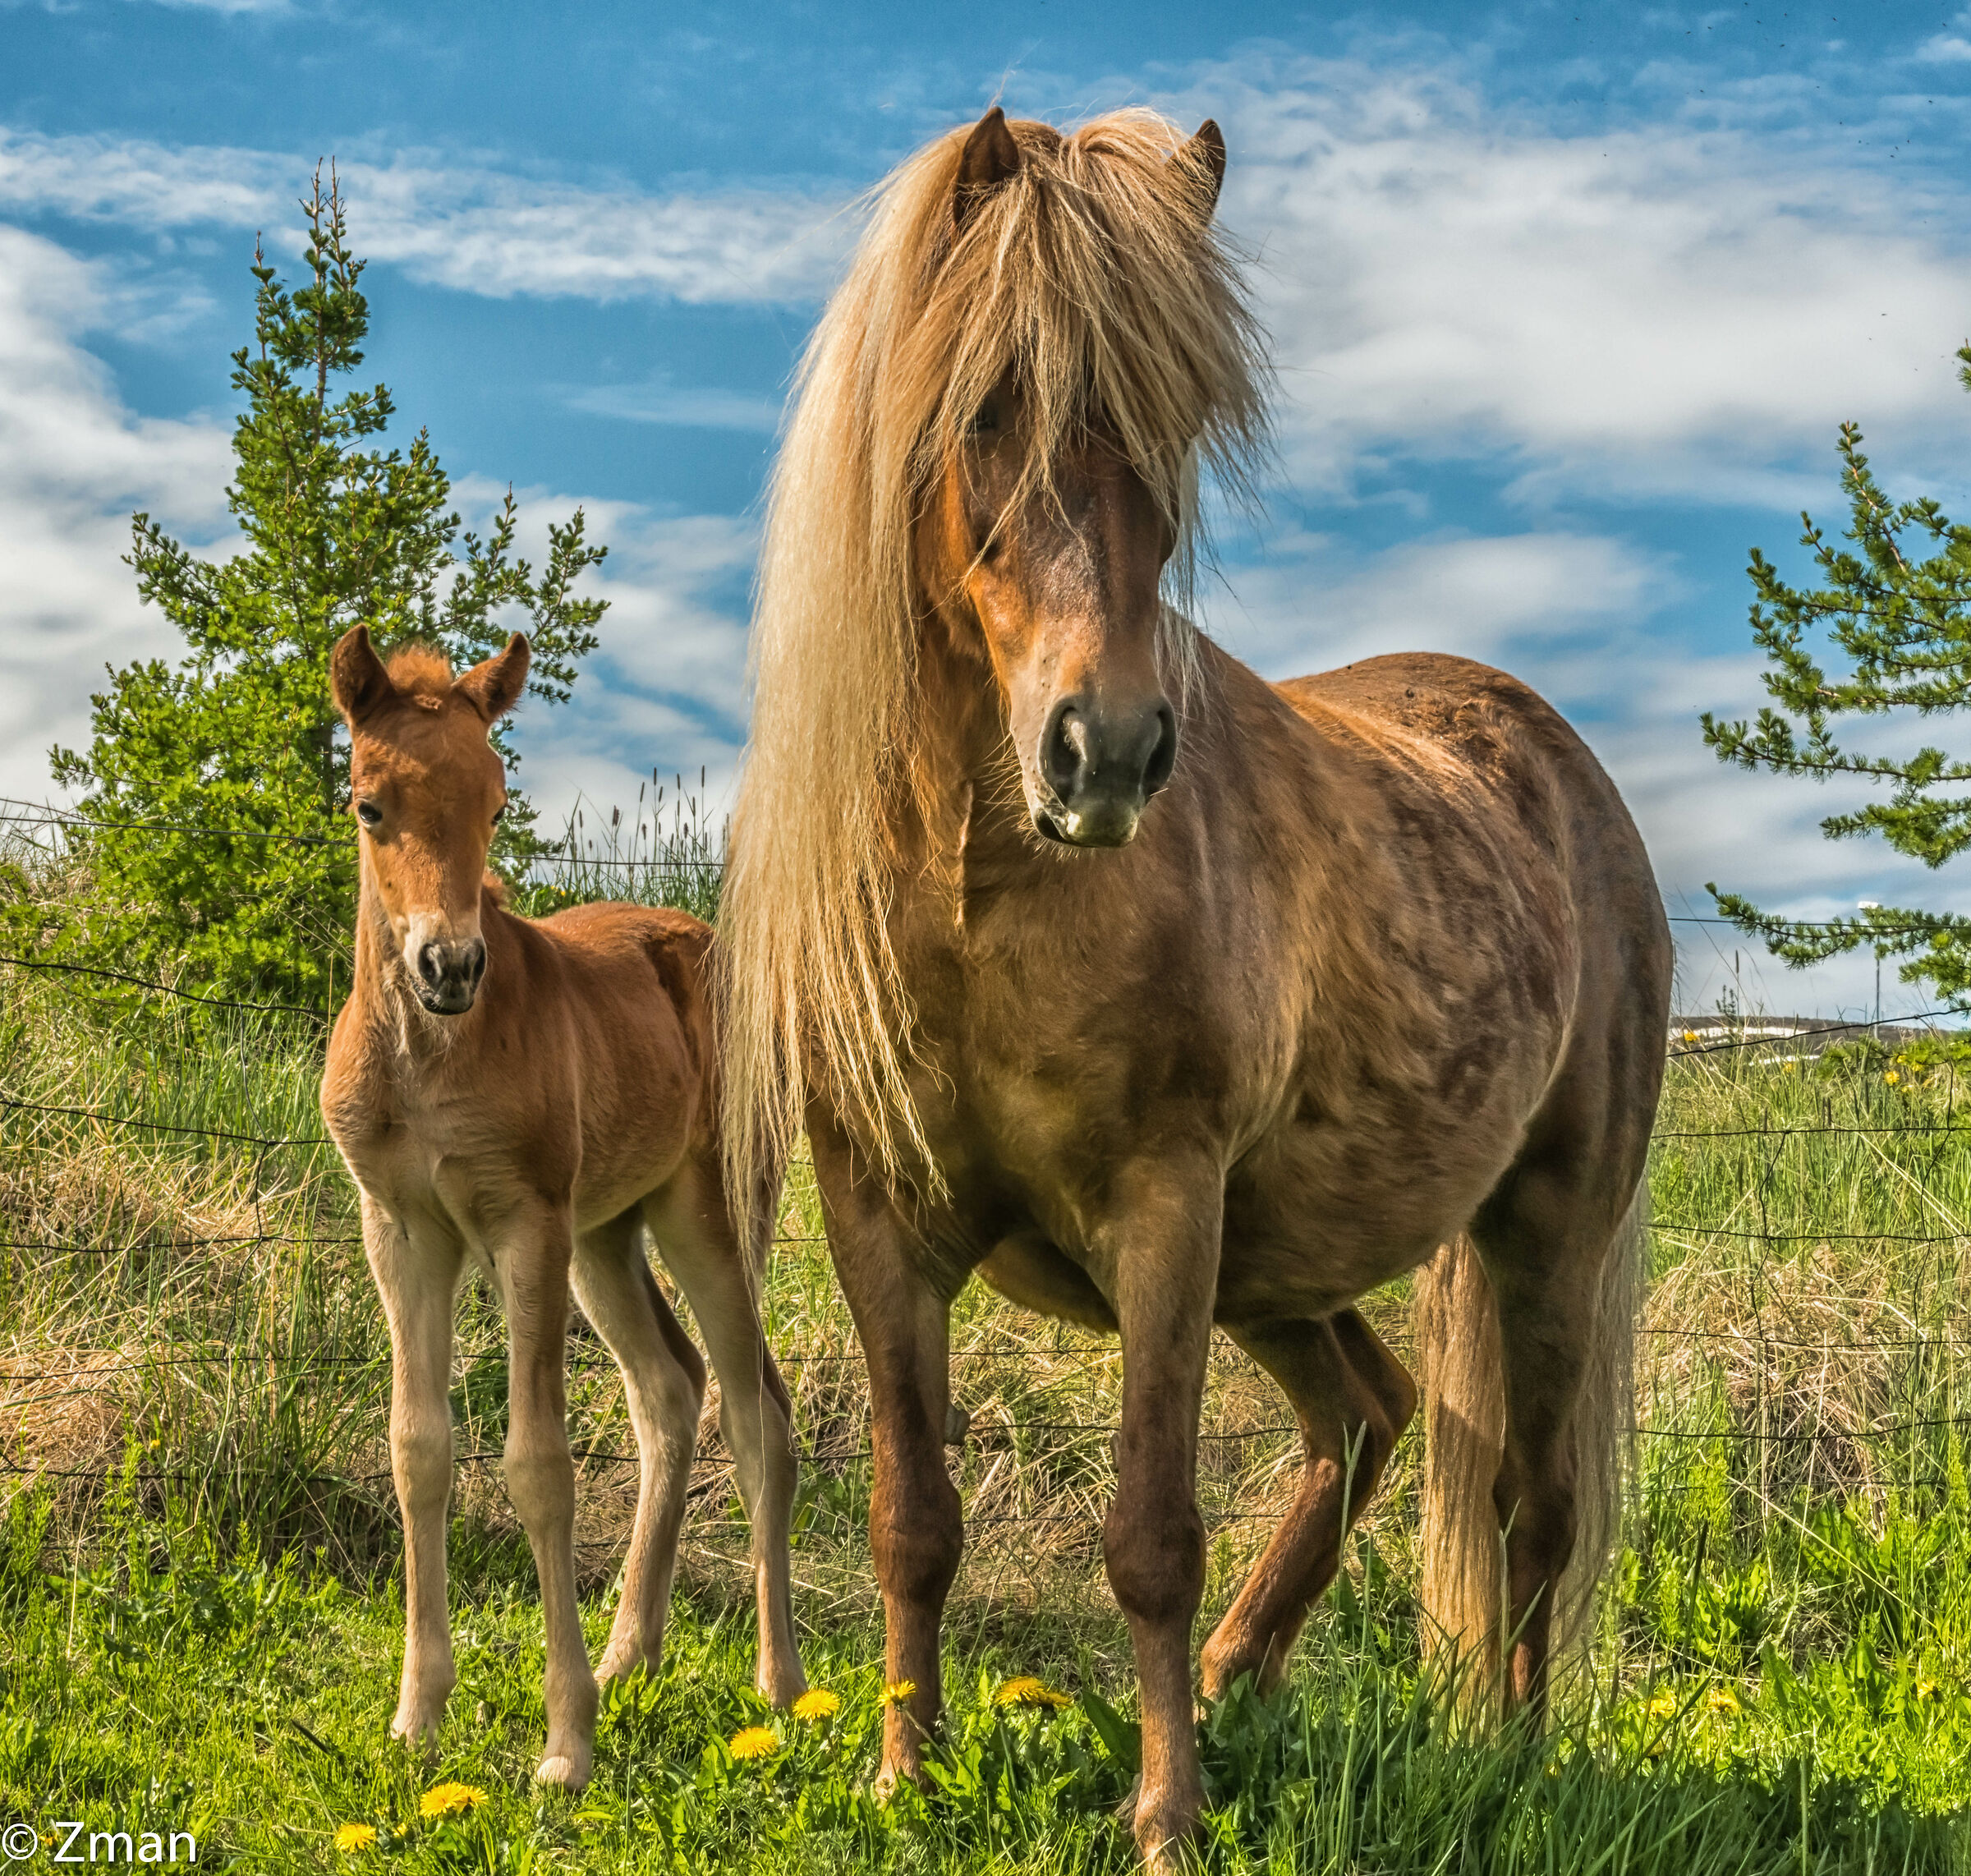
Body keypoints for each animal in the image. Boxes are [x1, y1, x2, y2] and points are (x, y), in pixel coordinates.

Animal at [319, 625, 805, 1790]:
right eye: (368, 803)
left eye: (498, 804)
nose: (449, 965)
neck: (427, 1059)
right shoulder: (402, 1230)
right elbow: (419, 1449)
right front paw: (417, 1715)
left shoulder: (521, 1224)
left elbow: (537, 1465)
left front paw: (566, 1745)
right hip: (606, 1237)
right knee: (670, 1390)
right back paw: (633, 1652)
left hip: (709, 1216)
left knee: (759, 1411)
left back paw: (778, 1683)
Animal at [717, 106, 1671, 1863]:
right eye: (988, 407)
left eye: (1172, 424)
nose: (1109, 750)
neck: (981, 893)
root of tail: (1549, 757)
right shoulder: (881, 1218)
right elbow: (909, 1515)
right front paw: (904, 1773)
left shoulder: (1164, 1208)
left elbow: (1151, 1530)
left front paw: (1164, 1811)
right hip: (1282, 1264)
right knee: (1367, 1410)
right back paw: (1242, 1672)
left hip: (1538, 1233)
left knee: (1533, 1502)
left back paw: (1506, 1756)